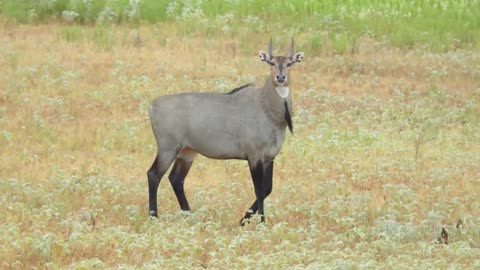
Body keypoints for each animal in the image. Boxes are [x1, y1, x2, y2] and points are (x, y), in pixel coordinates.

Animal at [147, 37, 304, 224]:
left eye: (290, 63)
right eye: (271, 63)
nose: (280, 77)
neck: (268, 109)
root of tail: (153, 106)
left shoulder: (269, 157)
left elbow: (267, 188)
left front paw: (243, 220)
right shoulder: (254, 156)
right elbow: (259, 189)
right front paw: (261, 222)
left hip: (187, 151)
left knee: (176, 179)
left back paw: (189, 215)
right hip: (168, 148)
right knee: (154, 175)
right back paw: (154, 216)